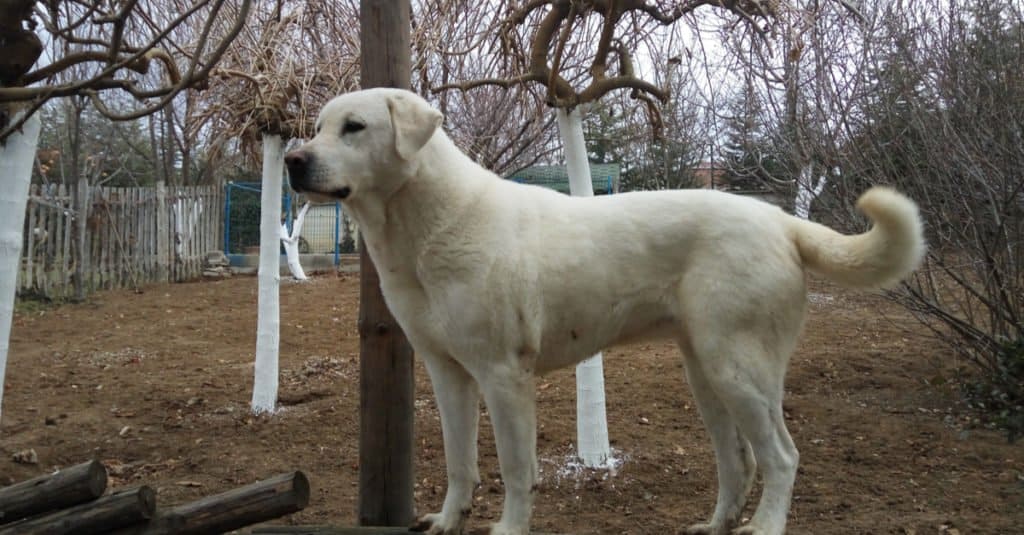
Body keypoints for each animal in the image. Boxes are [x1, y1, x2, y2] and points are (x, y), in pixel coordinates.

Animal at [284, 88, 925, 532]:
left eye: (354, 127)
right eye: (315, 128)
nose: (293, 160)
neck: (425, 227)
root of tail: (780, 220)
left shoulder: (503, 376)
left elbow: (516, 469)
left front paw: (509, 527)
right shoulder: (448, 374)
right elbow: (459, 461)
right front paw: (447, 520)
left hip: (740, 371)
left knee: (783, 458)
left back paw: (762, 528)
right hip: (706, 375)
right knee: (739, 462)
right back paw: (714, 524)